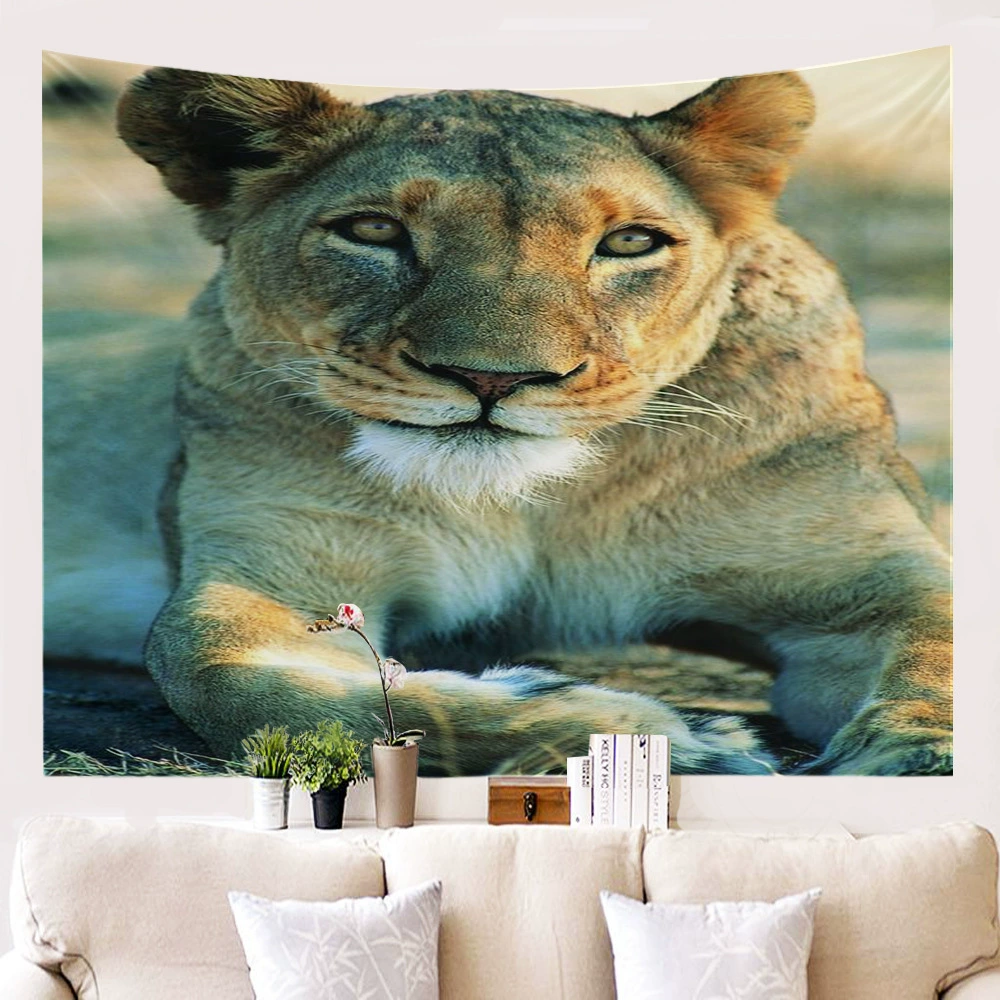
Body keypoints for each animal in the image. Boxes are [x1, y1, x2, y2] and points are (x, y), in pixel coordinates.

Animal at [45, 67, 952, 776]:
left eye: (629, 243)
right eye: (374, 230)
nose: (494, 377)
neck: (525, 501)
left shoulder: (861, 578)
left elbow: (939, 644)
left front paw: (919, 753)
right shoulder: (270, 568)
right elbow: (228, 678)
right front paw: (664, 733)